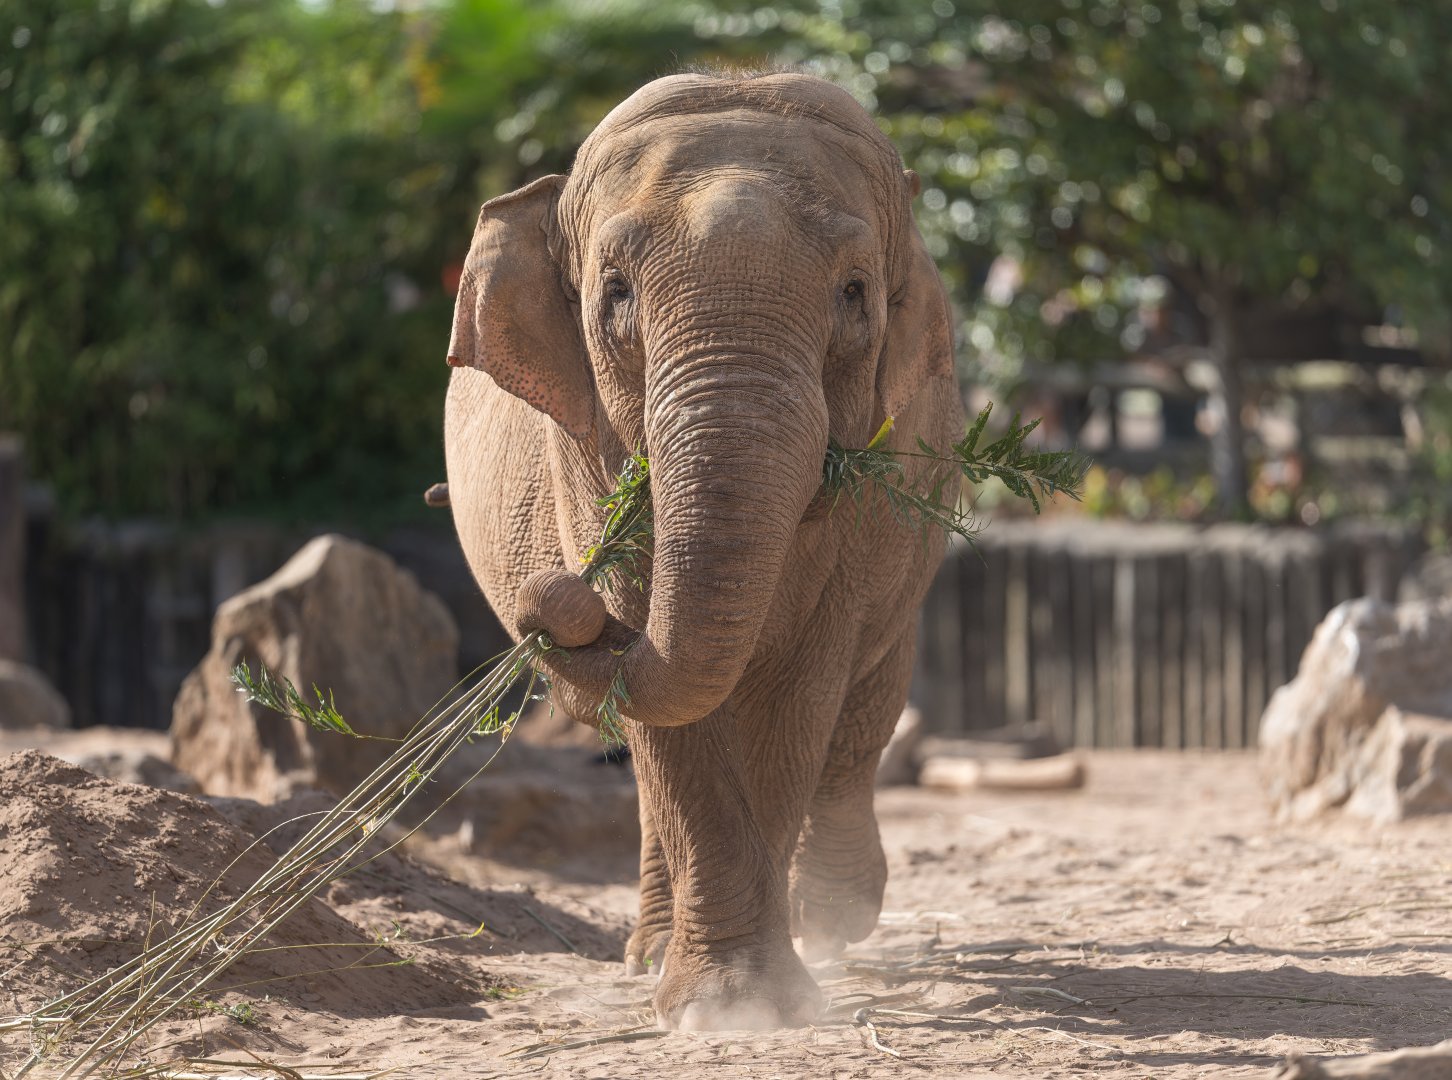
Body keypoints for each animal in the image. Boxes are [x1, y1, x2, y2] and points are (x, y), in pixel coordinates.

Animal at [443, 71, 964, 1030]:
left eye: (855, 293)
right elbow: (671, 715)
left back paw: (835, 922)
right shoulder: (587, 454)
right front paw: (718, 1008)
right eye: (614, 292)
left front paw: (760, 1003)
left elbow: (799, 690)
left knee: (867, 704)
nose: (556, 604)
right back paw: (649, 955)